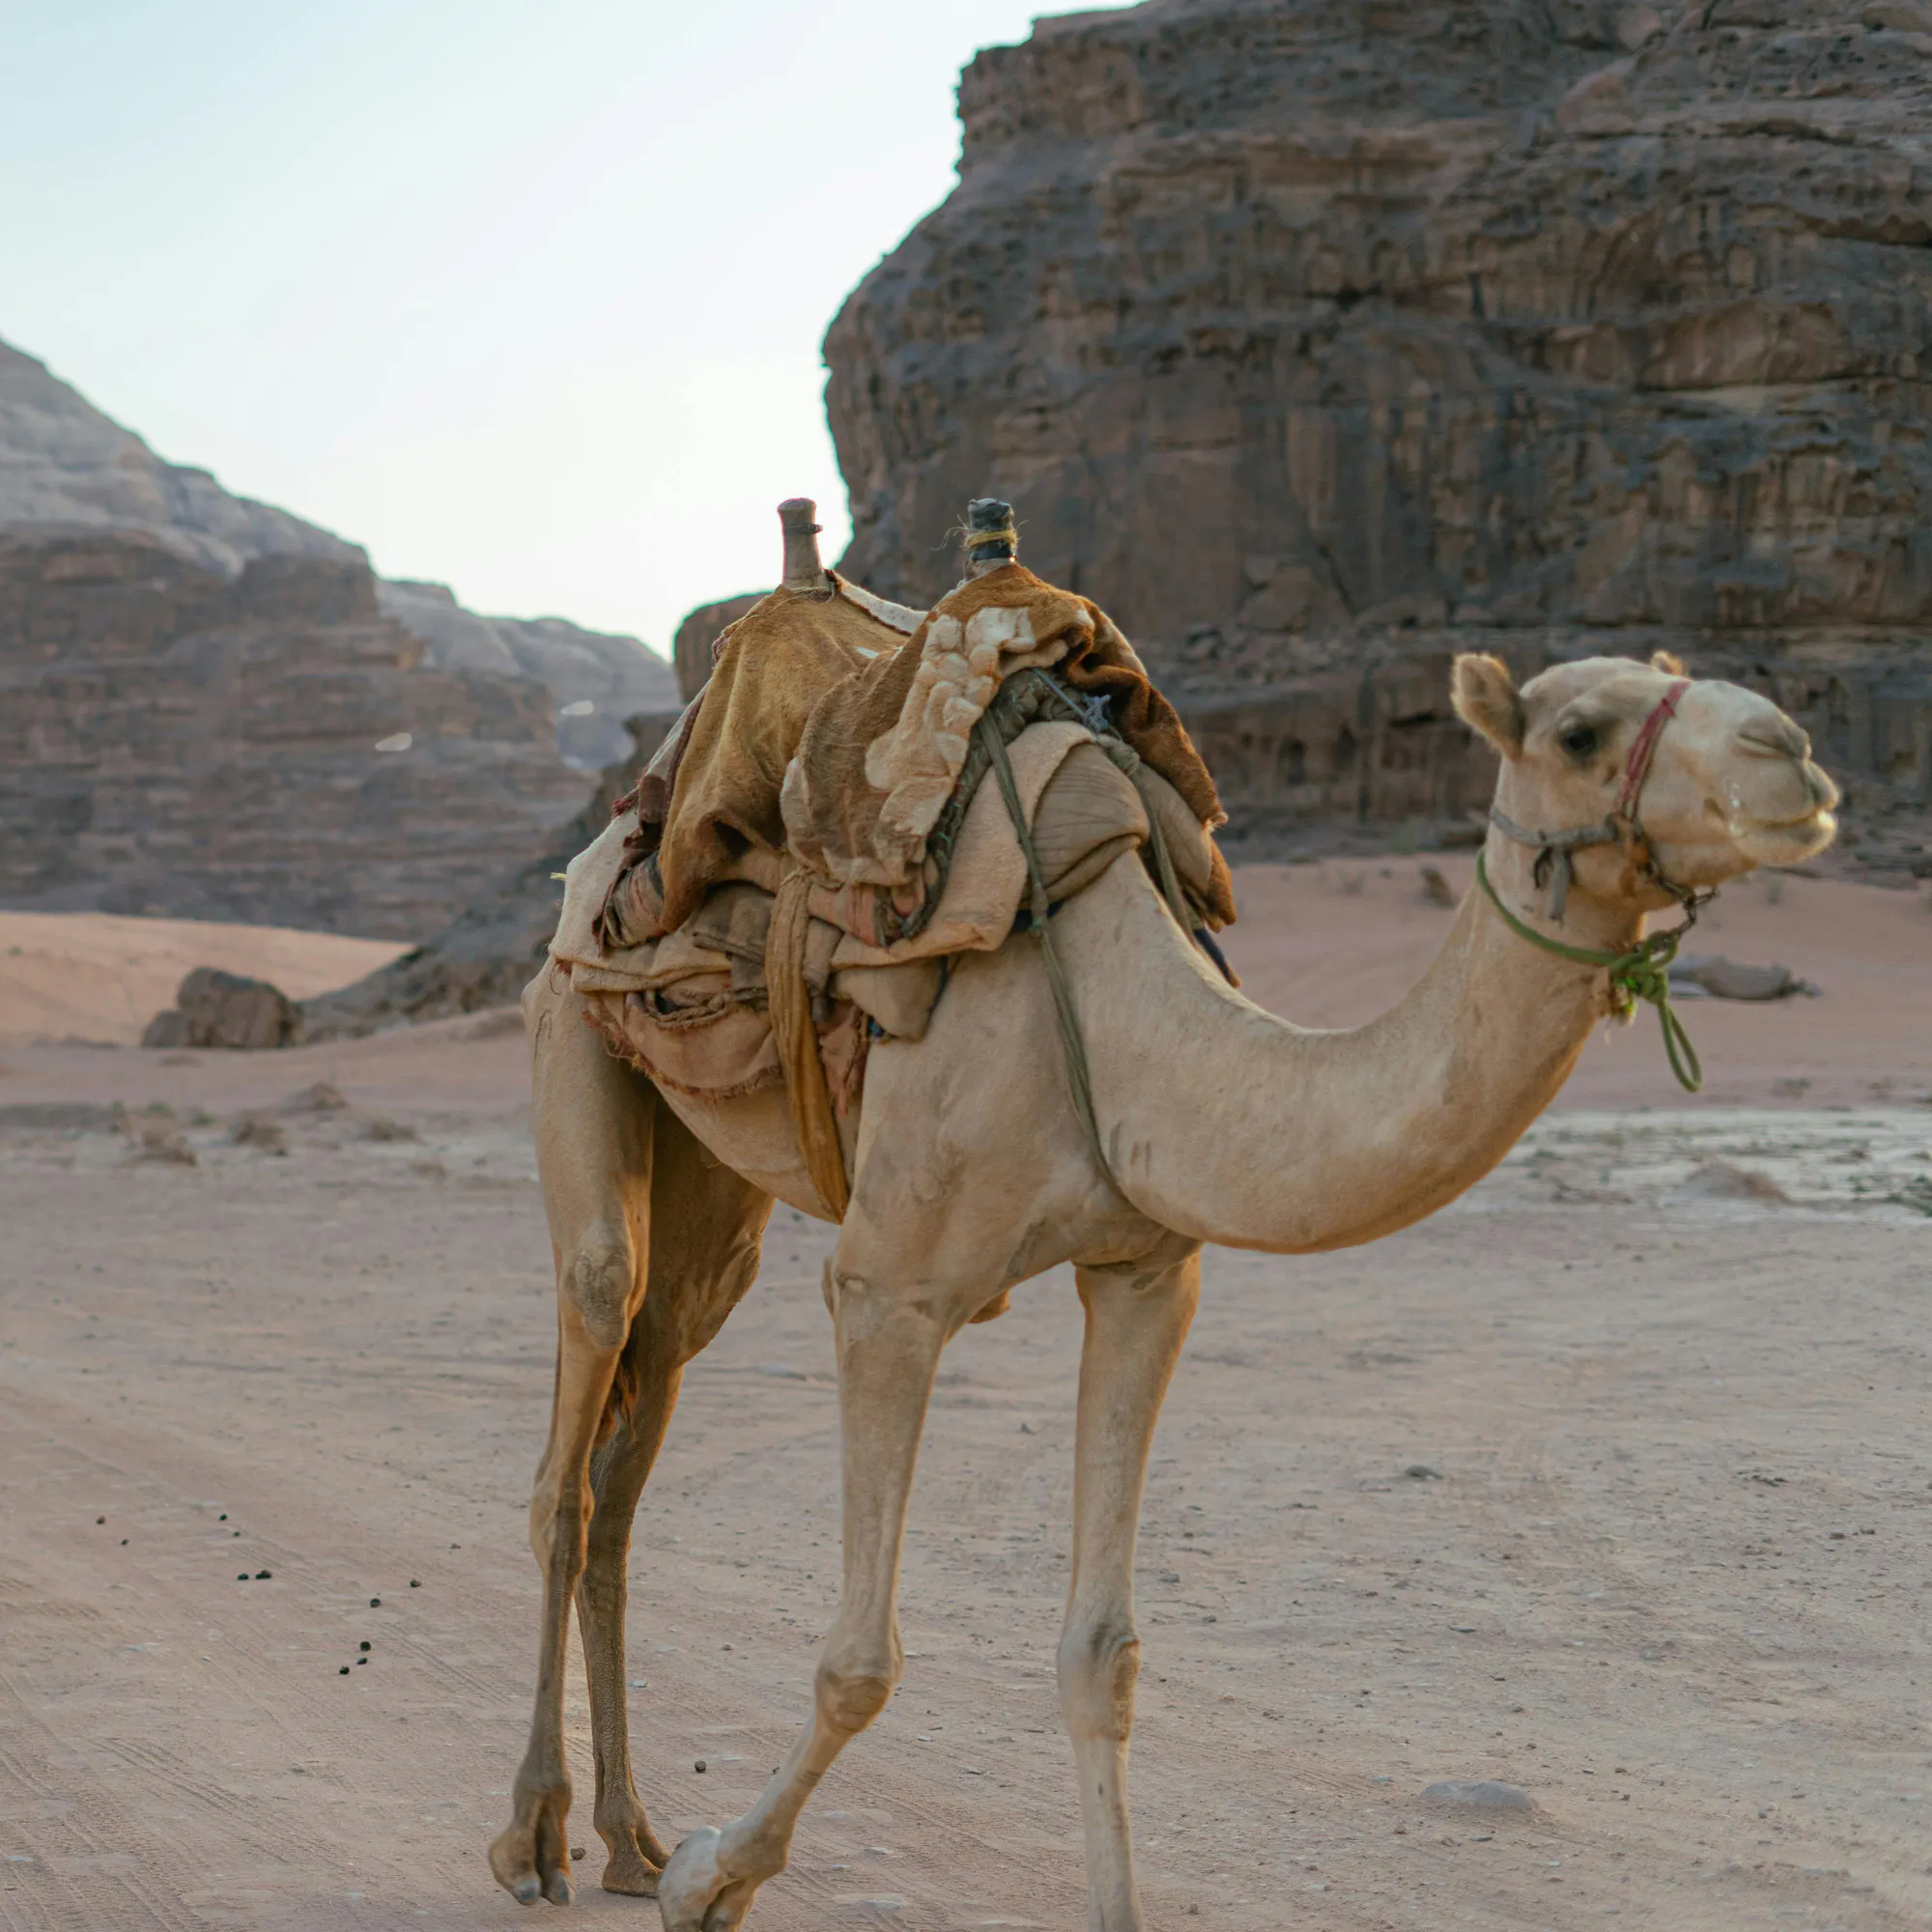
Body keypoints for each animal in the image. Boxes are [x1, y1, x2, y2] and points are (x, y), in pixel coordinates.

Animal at [488, 520, 1839, 1930]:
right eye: (1579, 730)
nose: (1791, 754)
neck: (1118, 1013)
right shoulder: (889, 1288)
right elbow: (858, 1660)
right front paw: (711, 1879)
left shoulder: (1145, 1273)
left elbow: (1103, 1655)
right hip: (570, 1023)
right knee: (574, 1418)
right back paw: (537, 1837)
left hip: (719, 1195)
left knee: (633, 1440)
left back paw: (627, 1834)